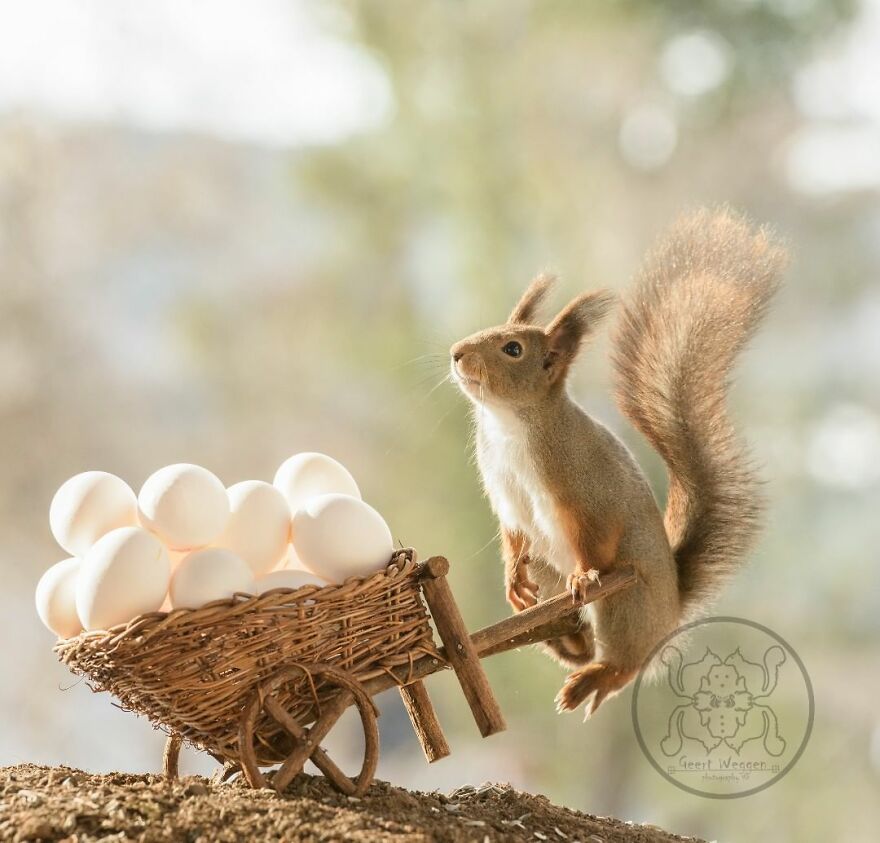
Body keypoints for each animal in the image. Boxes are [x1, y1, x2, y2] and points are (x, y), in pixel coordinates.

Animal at [449, 208, 787, 717]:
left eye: (513, 349)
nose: (456, 353)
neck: (508, 425)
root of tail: (671, 615)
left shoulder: (584, 488)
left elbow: (595, 533)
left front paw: (584, 573)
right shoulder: (503, 492)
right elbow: (512, 534)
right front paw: (512, 581)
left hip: (625, 603)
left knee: (624, 663)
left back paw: (595, 677)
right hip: (548, 574)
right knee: (577, 637)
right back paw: (559, 634)